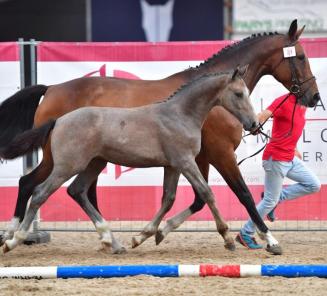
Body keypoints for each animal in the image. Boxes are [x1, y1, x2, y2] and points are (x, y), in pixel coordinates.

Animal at [1, 69, 260, 252]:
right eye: (238, 94)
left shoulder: (172, 166)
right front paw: (228, 238)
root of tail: (58, 121)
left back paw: (112, 242)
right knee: (39, 192)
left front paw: (144, 236)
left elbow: (169, 198)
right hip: (66, 166)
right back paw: (14, 240)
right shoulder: (186, 162)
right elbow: (207, 193)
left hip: (94, 164)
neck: (179, 114)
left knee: (77, 191)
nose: (253, 124)